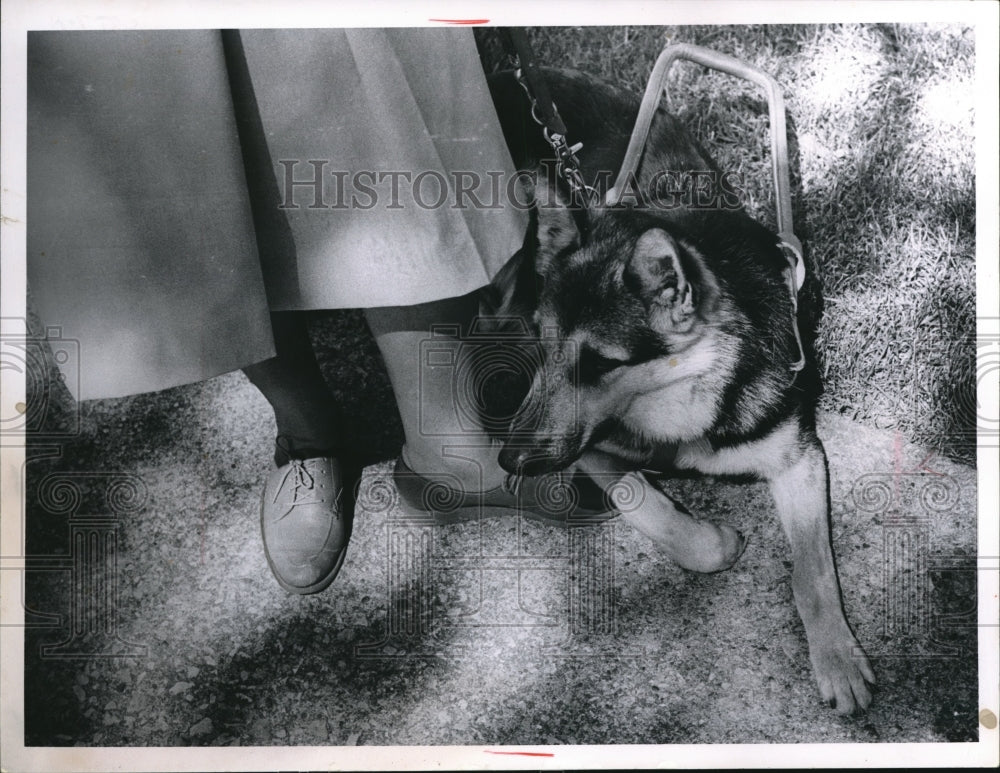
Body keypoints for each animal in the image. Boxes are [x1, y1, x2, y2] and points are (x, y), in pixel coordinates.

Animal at [484, 69, 876, 716]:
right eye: (545, 344)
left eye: (600, 363)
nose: (509, 460)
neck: (685, 385)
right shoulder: (591, 449)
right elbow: (646, 506)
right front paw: (711, 538)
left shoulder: (798, 458)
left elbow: (812, 570)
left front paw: (838, 658)